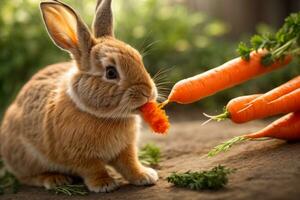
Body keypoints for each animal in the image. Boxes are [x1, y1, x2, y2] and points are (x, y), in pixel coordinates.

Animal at [0, 0, 159, 194]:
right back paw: (54, 179)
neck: (105, 116)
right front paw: (104, 185)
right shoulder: (79, 156)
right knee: (26, 177)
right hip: (26, 157)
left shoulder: (126, 149)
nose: (147, 92)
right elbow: (94, 169)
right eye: (111, 72)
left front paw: (145, 176)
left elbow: (130, 164)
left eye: (139, 59)